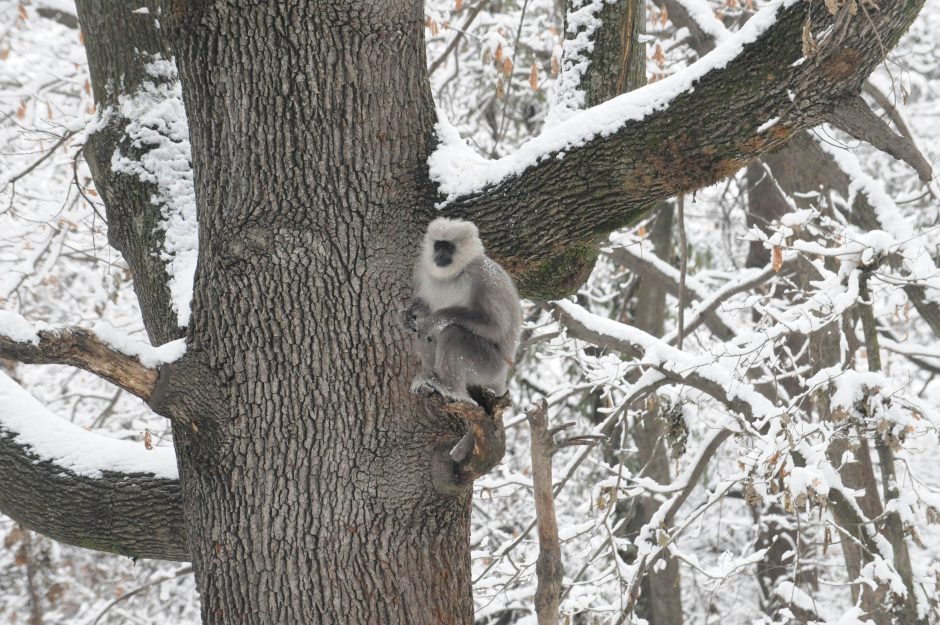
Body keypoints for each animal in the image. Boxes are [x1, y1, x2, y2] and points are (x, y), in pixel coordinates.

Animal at [402, 217, 524, 402]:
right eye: (438, 246)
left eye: (449, 248)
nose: (440, 255)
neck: (454, 275)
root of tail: (502, 376)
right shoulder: (423, 271)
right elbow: (423, 306)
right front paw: (408, 313)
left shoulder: (483, 276)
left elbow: (496, 327)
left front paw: (433, 320)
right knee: (425, 336)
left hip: (489, 367)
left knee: (453, 333)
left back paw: (450, 388)